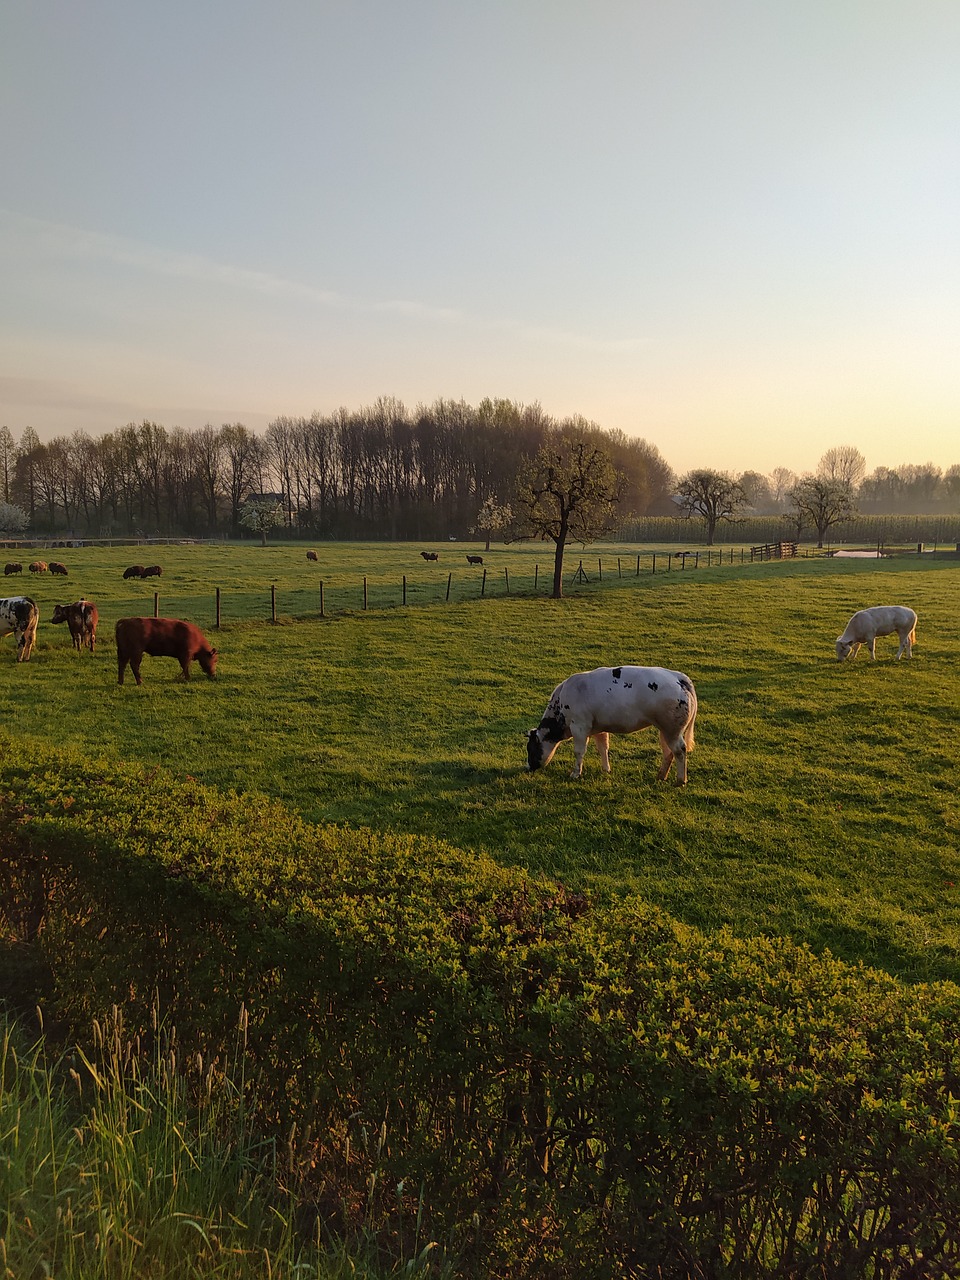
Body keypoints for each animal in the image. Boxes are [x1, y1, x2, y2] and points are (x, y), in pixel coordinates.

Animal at [527, 665, 698, 783]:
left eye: (530, 749)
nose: (527, 767)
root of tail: (679, 677)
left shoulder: (579, 726)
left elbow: (579, 752)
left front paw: (576, 773)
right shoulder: (598, 729)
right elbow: (603, 748)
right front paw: (606, 769)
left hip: (672, 729)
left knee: (680, 750)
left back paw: (680, 780)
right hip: (665, 729)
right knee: (668, 752)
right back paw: (661, 776)